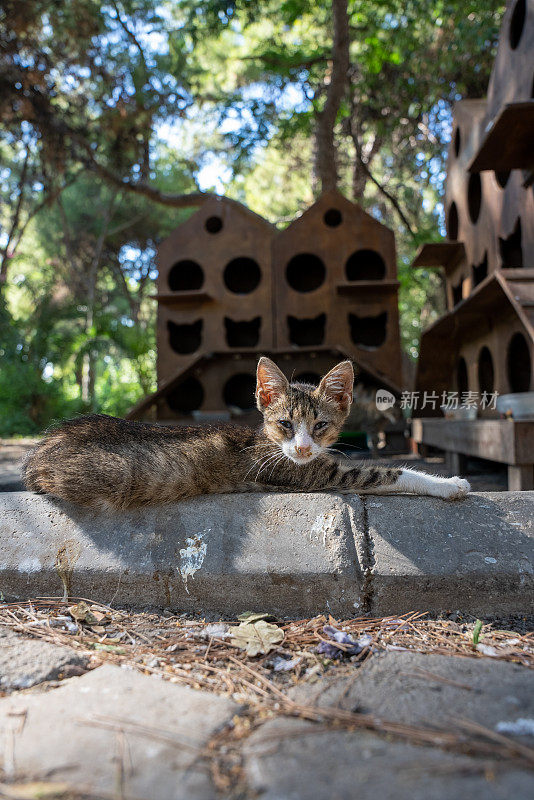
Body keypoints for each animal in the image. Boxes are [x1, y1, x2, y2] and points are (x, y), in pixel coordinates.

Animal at [23, 360, 472, 510]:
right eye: (285, 424)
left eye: (320, 425)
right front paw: (450, 484)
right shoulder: (312, 473)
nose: (303, 447)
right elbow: (385, 472)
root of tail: (39, 451)